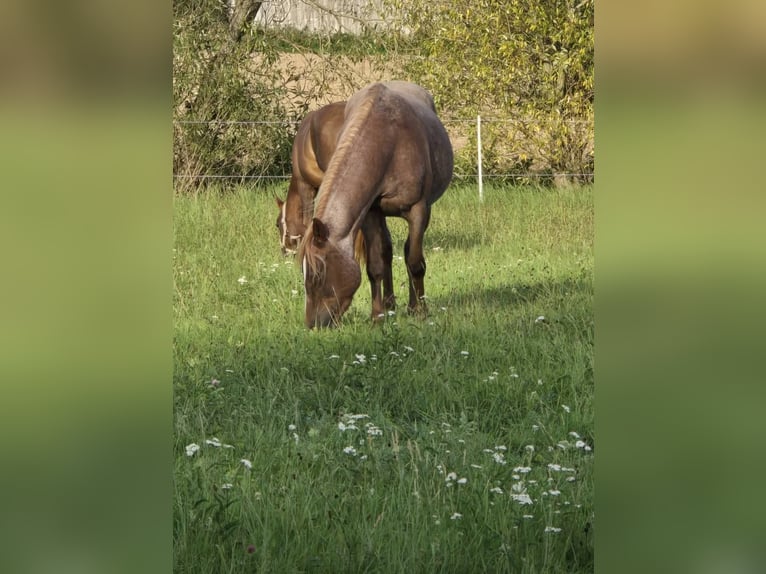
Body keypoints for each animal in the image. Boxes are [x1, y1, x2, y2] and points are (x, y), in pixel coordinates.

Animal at [298, 81, 454, 329]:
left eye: (317, 274)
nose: (313, 324)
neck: (388, 142)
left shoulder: (419, 211)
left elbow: (415, 262)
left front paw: (420, 311)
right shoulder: (370, 212)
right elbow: (376, 265)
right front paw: (377, 316)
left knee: (408, 252)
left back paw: (412, 306)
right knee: (387, 251)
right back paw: (390, 305)